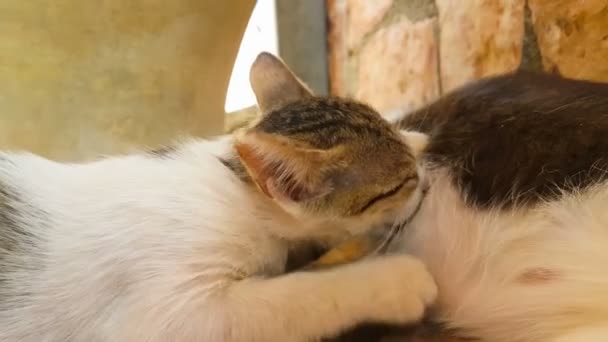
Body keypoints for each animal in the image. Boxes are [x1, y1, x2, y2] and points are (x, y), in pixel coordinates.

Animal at [0, 52, 436, 340]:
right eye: (401, 183)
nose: (427, 178)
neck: (238, 190)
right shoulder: (168, 316)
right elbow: (294, 297)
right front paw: (397, 280)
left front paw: (416, 135)